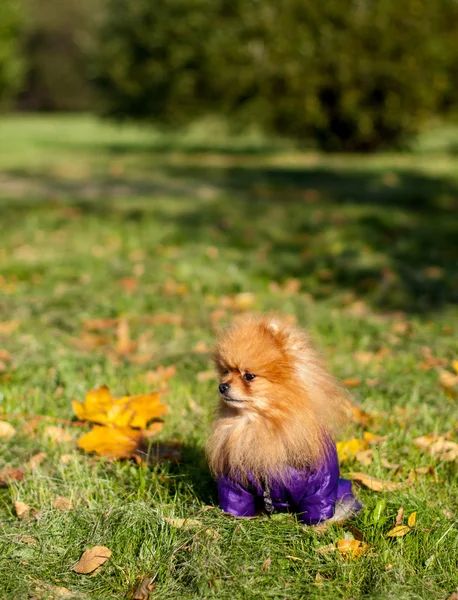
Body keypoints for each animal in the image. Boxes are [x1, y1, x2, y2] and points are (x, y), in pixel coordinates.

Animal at [207, 314, 362, 524]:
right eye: (225, 372)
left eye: (249, 376)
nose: (222, 386)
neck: (263, 423)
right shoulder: (234, 481)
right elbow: (237, 501)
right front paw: (237, 518)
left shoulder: (320, 485)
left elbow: (318, 505)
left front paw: (316, 526)